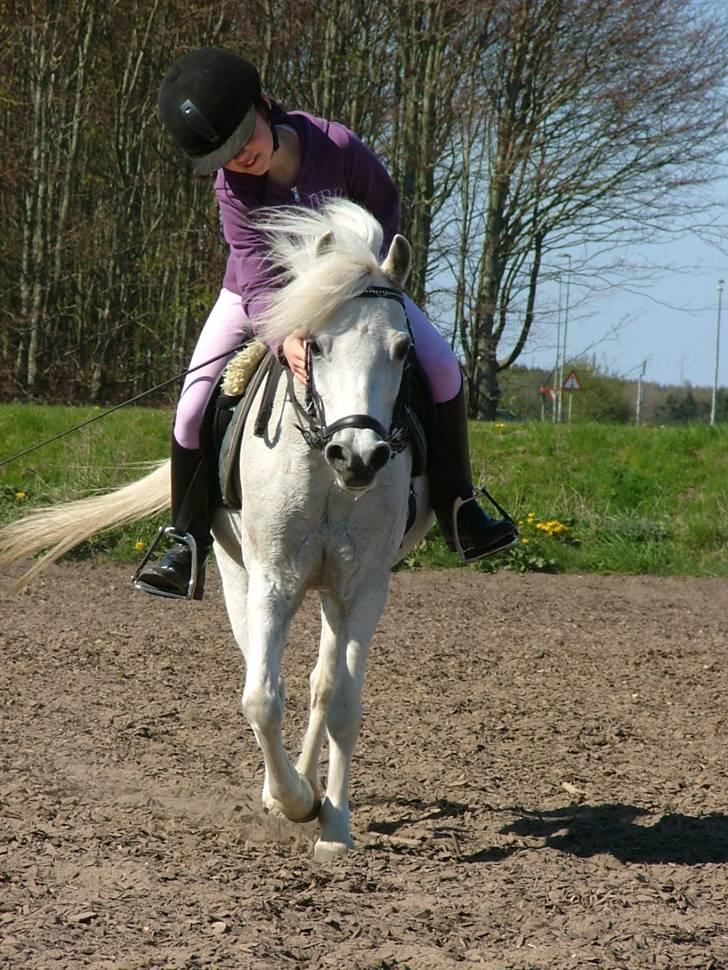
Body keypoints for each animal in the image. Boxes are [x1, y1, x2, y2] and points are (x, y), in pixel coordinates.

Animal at [0, 199, 434, 860]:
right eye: (316, 346)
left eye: (404, 349)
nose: (359, 457)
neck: (322, 462)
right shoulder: (271, 580)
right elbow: (261, 697)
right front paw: (293, 801)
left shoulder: (364, 587)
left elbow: (342, 703)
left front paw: (333, 826)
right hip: (239, 574)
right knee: (269, 672)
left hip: (333, 589)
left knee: (321, 684)